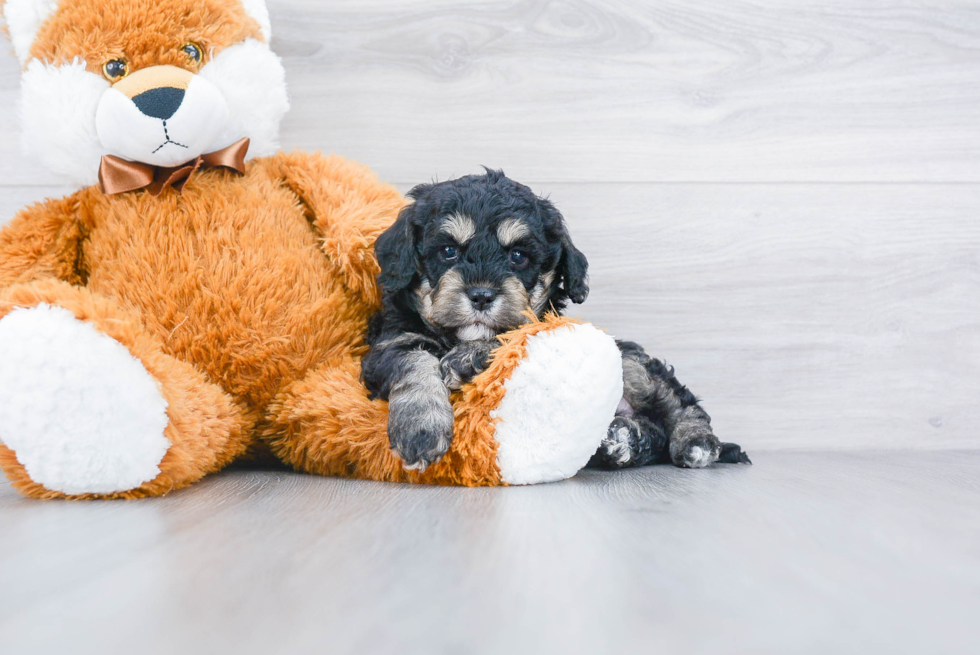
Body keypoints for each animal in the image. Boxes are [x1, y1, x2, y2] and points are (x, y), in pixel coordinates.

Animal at [362, 169, 752, 472]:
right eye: (447, 251)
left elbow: (516, 334)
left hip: (628, 360)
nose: (482, 295)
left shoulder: (549, 330)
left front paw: (468, 358)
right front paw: (420, 426)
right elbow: (414, 362)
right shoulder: (390, 344)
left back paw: (694, 443)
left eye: (518, 256)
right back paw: (621, 441)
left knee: (681, 404)